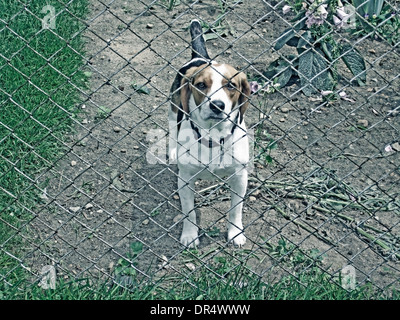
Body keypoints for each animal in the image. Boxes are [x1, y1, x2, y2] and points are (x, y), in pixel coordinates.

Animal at [169, 20, 250, 248]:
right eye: (201, 85)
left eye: (231, 85)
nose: (217, 105)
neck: (214, 137)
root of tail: (200, 57)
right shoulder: (185, 180)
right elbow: (189, 212)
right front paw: (190, 236)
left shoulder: (240, 177)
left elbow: (235, 210)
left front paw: (235, 233)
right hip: (173, 109)